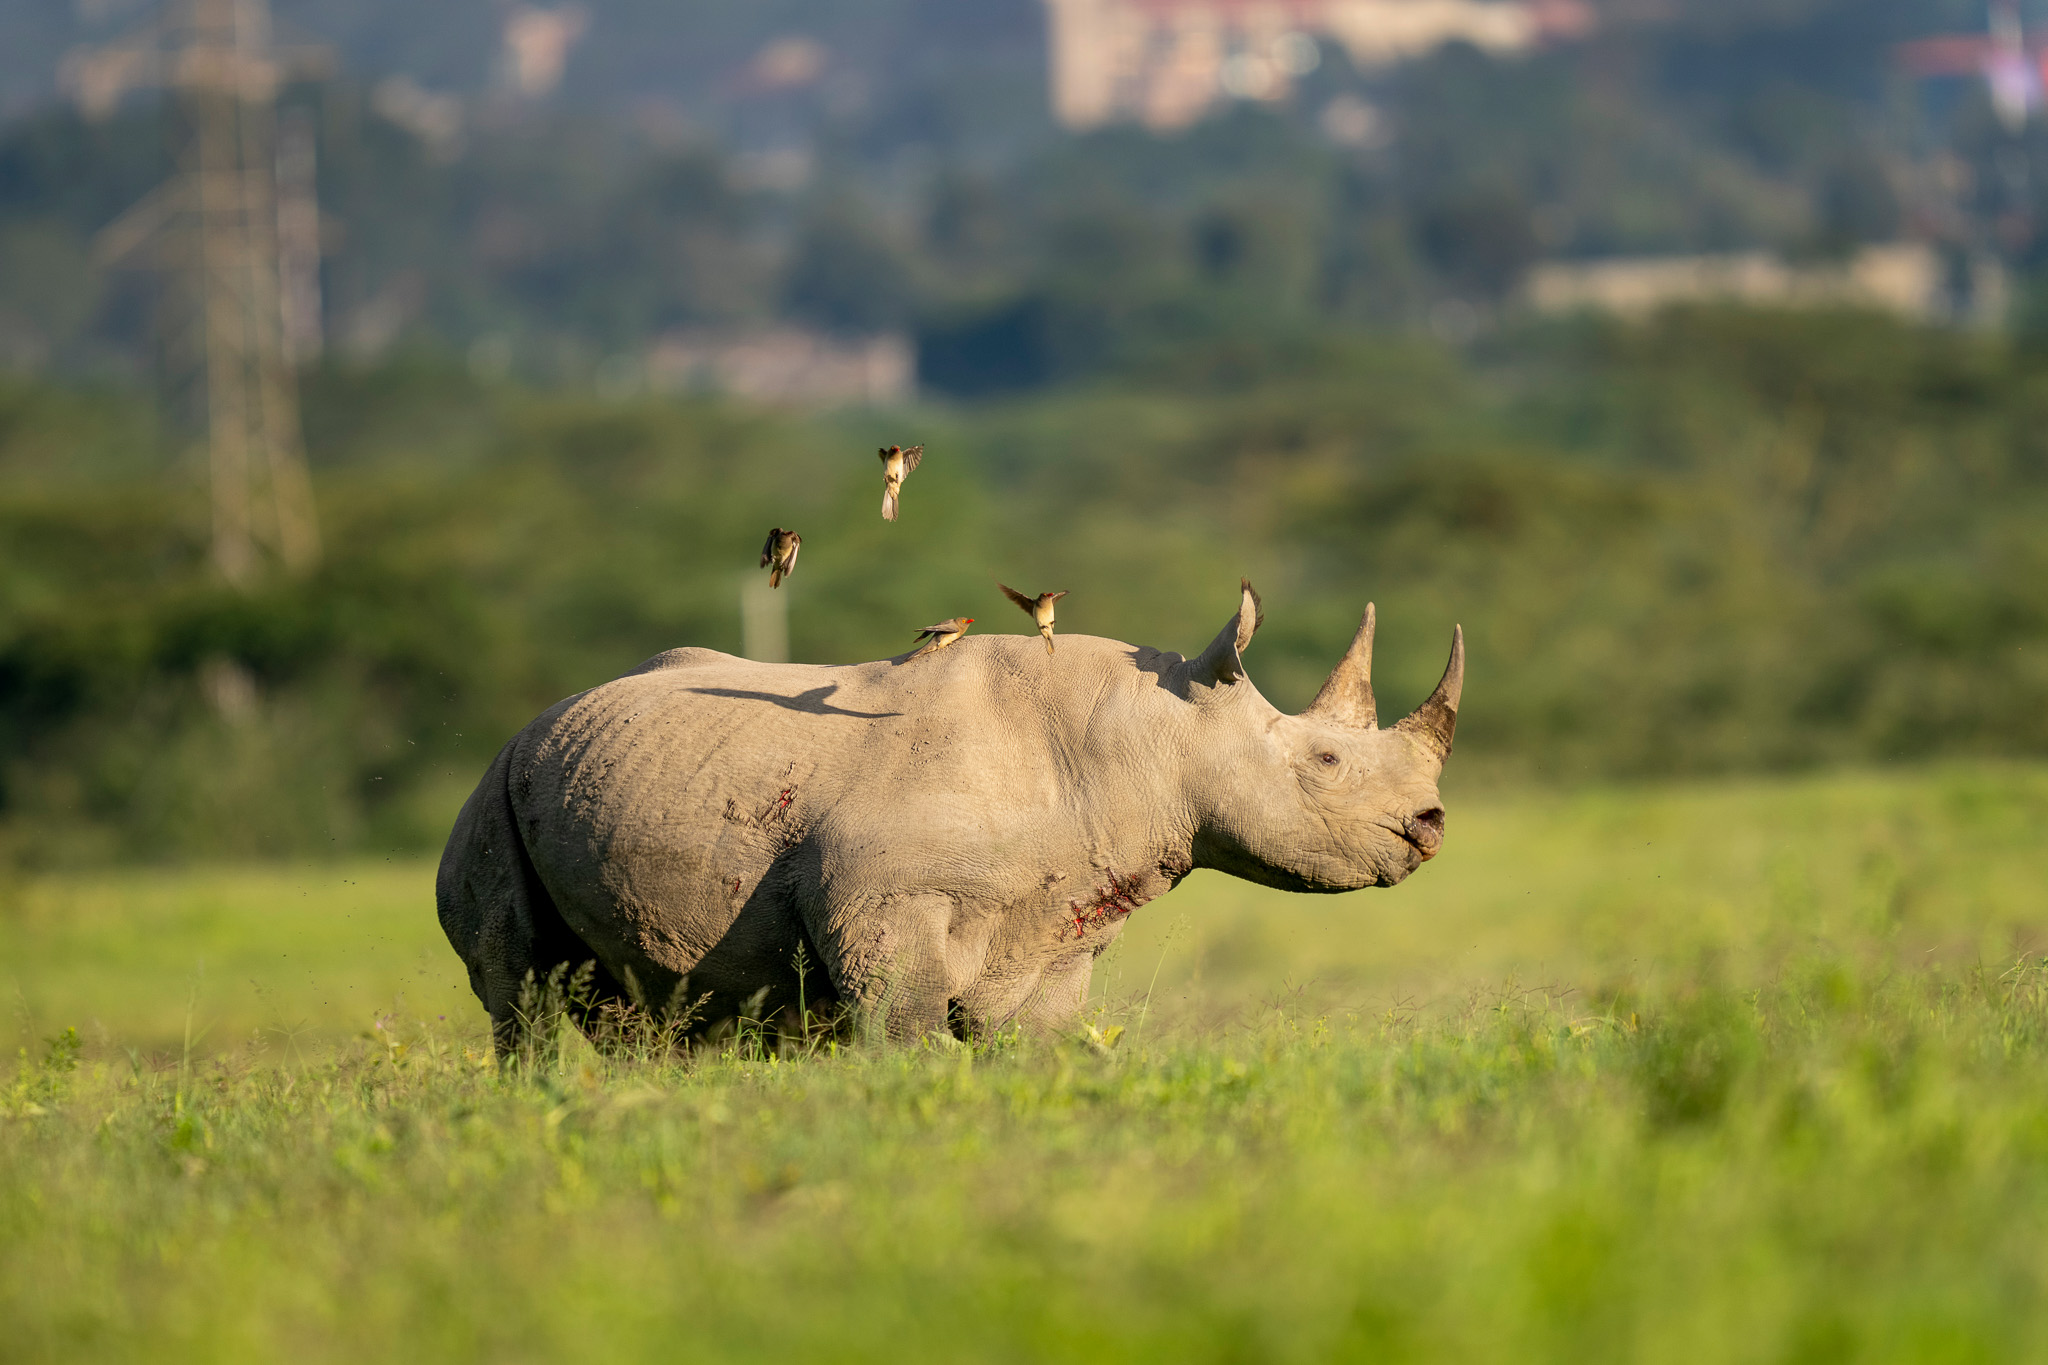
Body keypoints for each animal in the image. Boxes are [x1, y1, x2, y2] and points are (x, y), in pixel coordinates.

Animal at [436, 583, 1462, 1049]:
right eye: (1326, 763)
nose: (1431, 825)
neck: (1156, 734)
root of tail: (541, 718)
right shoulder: (881, 900)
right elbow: (905, 1024)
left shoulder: (1057, 921)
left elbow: (1037, 1040)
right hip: (493, 788)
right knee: (521, 994)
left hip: (594, 772)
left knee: (651, 1012)